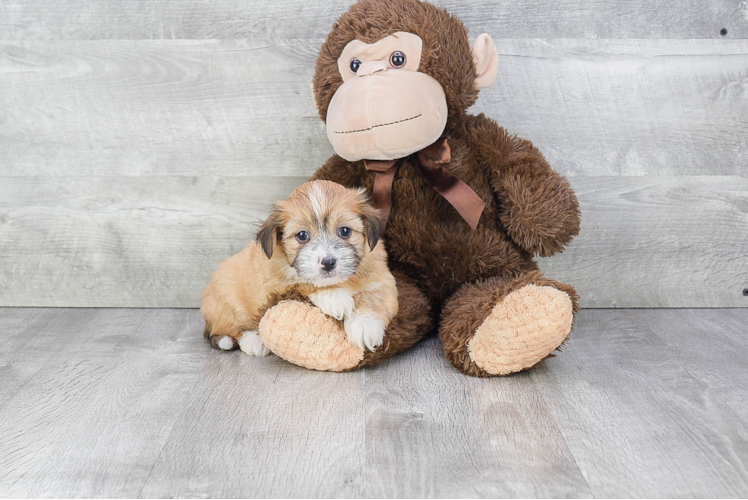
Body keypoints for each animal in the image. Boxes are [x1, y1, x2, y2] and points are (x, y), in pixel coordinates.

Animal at [199, 180, 398, 356]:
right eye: (302, 235)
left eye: (344, 231)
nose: (328, 262)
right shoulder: (274, 283)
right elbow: (301, 283)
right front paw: (334, 297)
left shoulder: (382, 276)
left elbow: (375, 296)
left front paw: (365, 325)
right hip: (229, 299)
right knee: (230, 328)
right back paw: (253, 341)